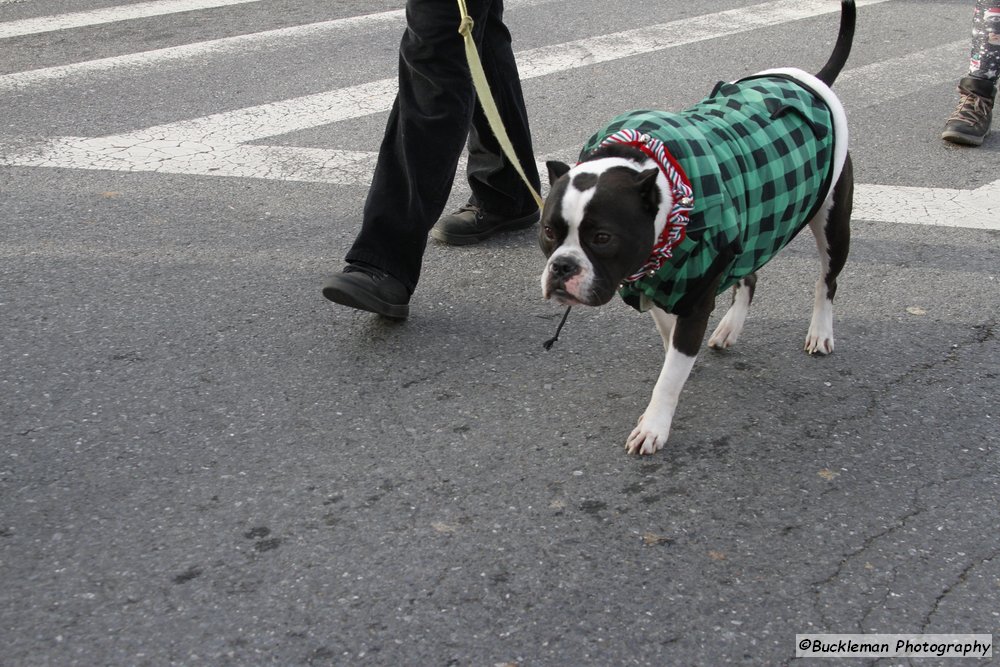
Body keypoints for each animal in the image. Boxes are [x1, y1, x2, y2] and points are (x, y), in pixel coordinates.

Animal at [544, 1, 856, 454]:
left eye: (602, 238)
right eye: (549, 232)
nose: (562, 266)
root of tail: (810, 78)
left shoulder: (693, 294)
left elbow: (669, 376)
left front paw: (654, 423)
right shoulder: (660, 284)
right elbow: (669, 338)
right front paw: (676, 359)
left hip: (831, 222)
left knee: (826, 281)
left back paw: (819, 332)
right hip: (754, 226)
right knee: (750, 275)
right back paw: (729, 328)